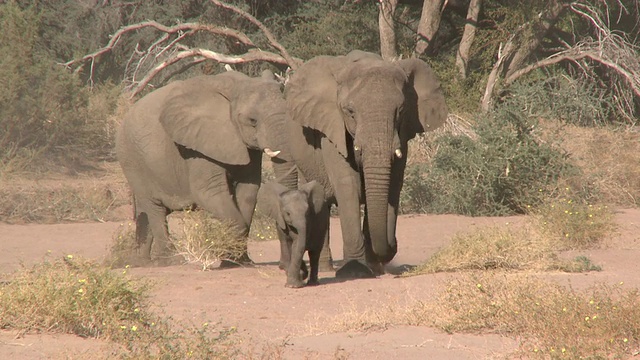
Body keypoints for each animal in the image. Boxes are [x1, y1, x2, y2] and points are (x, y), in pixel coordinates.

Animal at [116, 70, 292, 264]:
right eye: (252, 121)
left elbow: (248, 191)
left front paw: (239, 260)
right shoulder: (198, 145)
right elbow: (208, 193)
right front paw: (225, 256)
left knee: (145, 210)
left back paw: (140, 262)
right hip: (132, 159)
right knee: (155, 208)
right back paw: (172, 260)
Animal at [282, 49, 448, 278]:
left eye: (401, 110)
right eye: (350, 112)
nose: (393, 245)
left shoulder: (402, 136)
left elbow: (394, 184)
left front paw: (373, 266)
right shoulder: (332, 127)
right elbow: (347, 184)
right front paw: (355, 271)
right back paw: (326, 268)